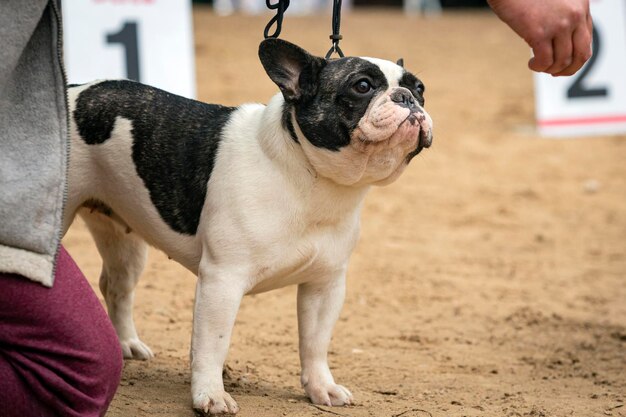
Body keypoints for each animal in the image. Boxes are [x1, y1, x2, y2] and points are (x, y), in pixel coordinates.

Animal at [64, 38, 428, 412]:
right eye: (363, 86)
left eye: (420, 89)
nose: (407, 98)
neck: (308, 174)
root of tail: (72, 89)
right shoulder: (222, 279)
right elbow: (212, 343)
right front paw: (210, 394)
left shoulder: (325, 284)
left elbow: (315, 343)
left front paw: (321, 388)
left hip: (126, 243)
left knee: (117, 286)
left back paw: (127, 343)